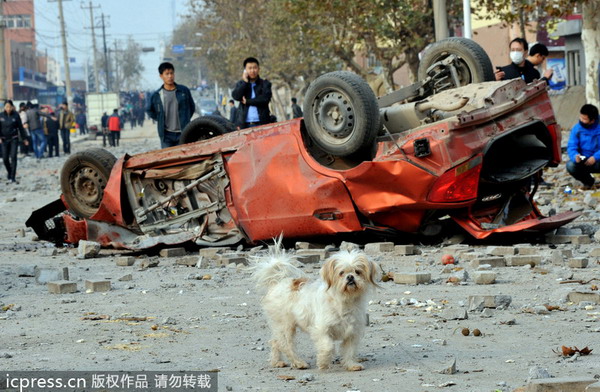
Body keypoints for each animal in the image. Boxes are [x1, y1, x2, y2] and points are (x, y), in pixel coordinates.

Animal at [253, 240, 380, 372]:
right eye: (341, 273)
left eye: (358, 272)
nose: (350, 277)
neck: (344, 300)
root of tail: (278, 281)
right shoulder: (321, 329)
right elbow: (328, 346)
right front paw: (323, 363)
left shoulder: (352, 332)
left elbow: (349, 351)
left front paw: (351, 365)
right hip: (285, 326)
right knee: (286, 345)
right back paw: (298, 363)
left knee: (275, 341)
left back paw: (276, 362)